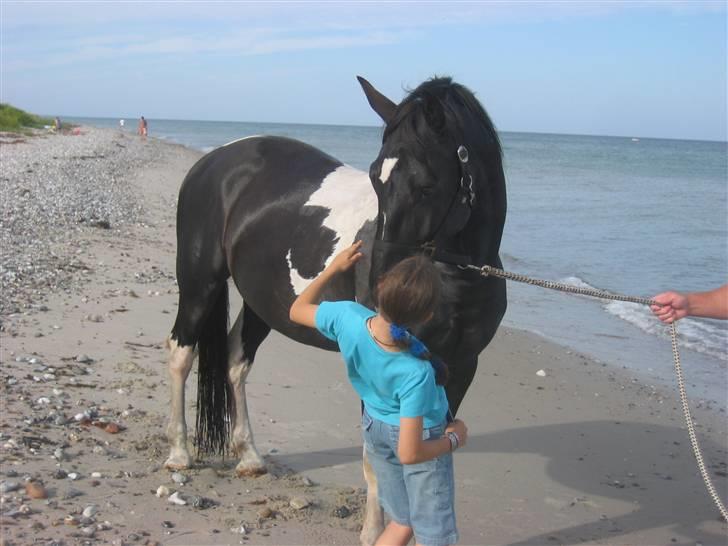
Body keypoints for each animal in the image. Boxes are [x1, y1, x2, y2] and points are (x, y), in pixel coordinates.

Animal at [164, 75, 506, 540]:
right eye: (376, 179)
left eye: (427, 185)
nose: (381, 285)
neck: (456, 276)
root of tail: (214, 161)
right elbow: (379, 460)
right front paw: (375, 534)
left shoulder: (459, 366)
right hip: (200, 283)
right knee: (182, 352)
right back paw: (179, 453)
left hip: (263, 303)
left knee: (235, 359)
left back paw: (249, 456)